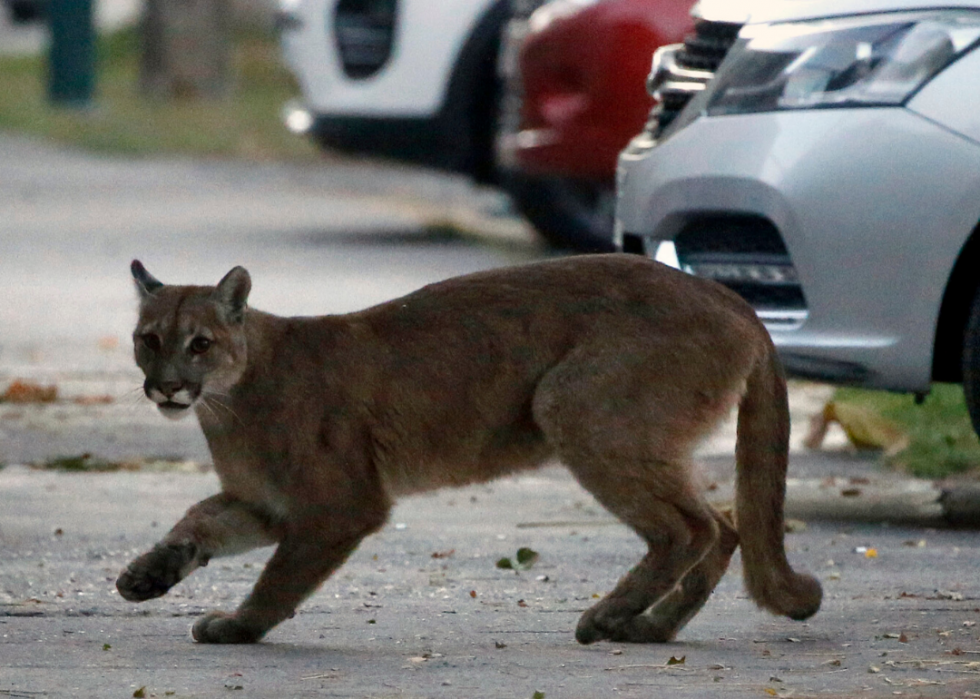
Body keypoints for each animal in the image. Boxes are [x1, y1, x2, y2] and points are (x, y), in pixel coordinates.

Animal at [117, 256, 820, 644]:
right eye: (149, 339)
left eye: (200, 343)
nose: (167, 385)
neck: (227, 402)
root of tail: (730, 296)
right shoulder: (267, 503)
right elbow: (199, 520)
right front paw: (148, 575)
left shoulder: (339, 505)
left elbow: (280, 576)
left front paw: (241, 627)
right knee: (725, 525)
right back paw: (650, 628)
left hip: (573, 405)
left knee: (689, 528)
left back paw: (609, 617)